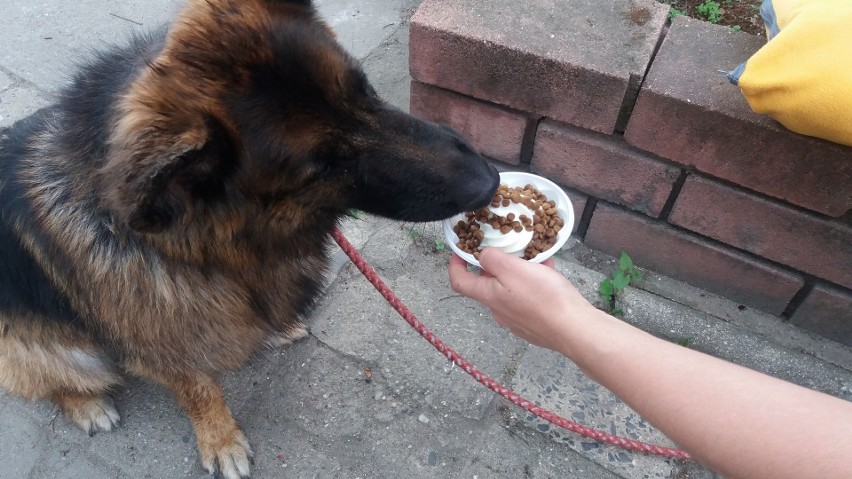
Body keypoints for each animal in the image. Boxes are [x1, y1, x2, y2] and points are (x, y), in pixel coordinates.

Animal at [0, 1, 502, 478]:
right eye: (326, 165)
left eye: (365, 91)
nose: (489, 180)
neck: (210, 239)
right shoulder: (157, 341)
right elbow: (197, 388)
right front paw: (220, 440)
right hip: (51, 348)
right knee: (49, 380)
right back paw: (87, 405)